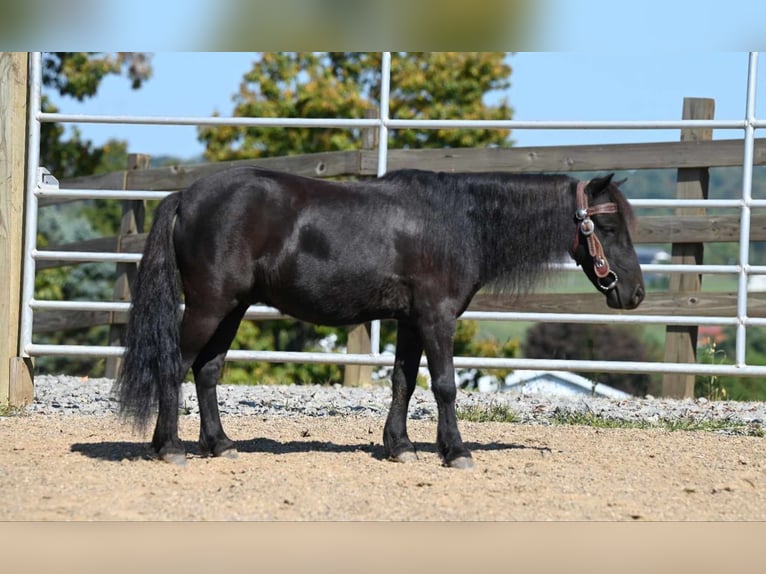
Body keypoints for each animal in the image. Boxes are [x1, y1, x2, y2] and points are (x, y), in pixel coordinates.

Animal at [117, 165, 644, 468]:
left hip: (233, 307)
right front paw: (456, 452)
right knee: (174, 365)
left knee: (207, 370)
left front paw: (401, 446)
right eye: (608, 226)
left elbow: (403, 383)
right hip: (209, 305)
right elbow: (445, 385)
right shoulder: (436, 317)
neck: (459, 221)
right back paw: (169, 448)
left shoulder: (410, 321)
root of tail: (186, 196)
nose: (635, 293)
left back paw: (220, 444)